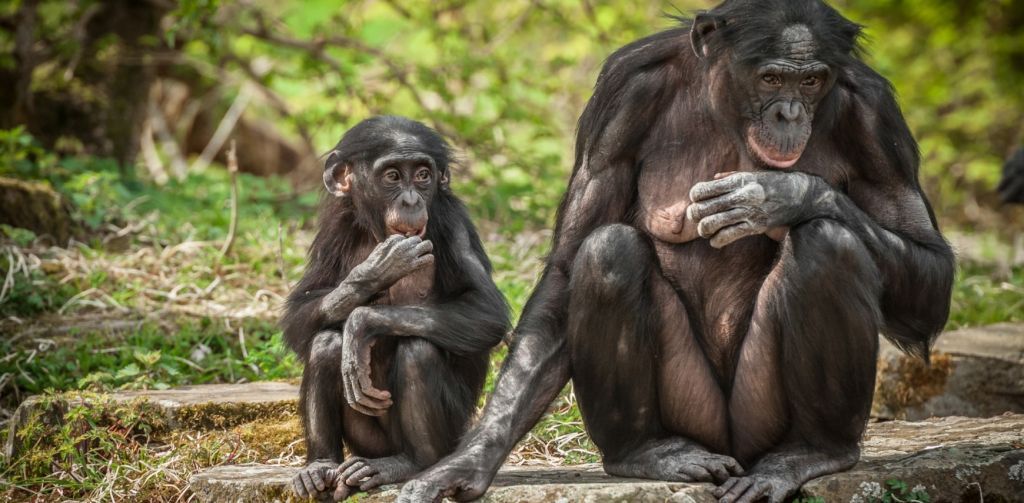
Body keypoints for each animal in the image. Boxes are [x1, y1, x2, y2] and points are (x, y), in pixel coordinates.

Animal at [280, 116, 507, 501]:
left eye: (423, 174)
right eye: (392, 176)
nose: (411, 198)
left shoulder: (453, 222)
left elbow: (485, 309)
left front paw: (362, 321)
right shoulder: (333, 229)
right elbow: (299, 313)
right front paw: (372, 273)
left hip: (453, 437)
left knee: (418, 350)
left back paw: (411, 464)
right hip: (366, 443)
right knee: (325, 343)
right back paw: (320, 467)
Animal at [397, 0, 950, 503]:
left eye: (812, 81)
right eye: (771, 79)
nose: (789, 112)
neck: (725, 107)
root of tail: (731, 452)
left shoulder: (875, 119)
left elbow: (931, 274)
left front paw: (782, 195)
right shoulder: (622, 96)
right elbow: (567, 263)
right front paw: (470, 458)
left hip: (759, 415)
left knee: (830, 242)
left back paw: (813, 452)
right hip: (693, 410)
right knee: (607, 249)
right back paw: (645, 452)